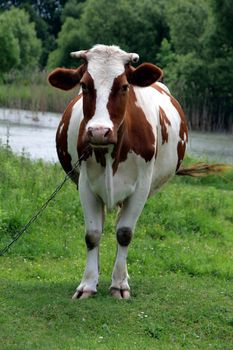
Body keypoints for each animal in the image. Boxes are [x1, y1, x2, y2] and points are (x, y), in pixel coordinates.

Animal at [48, 43, 188, 300]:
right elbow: (93, 234)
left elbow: (124, 233)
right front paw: (88, 283)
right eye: (84, 85)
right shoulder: (85, 185)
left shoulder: (141, 187)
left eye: (124, 86)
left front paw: (120, 284)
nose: (98, 131)